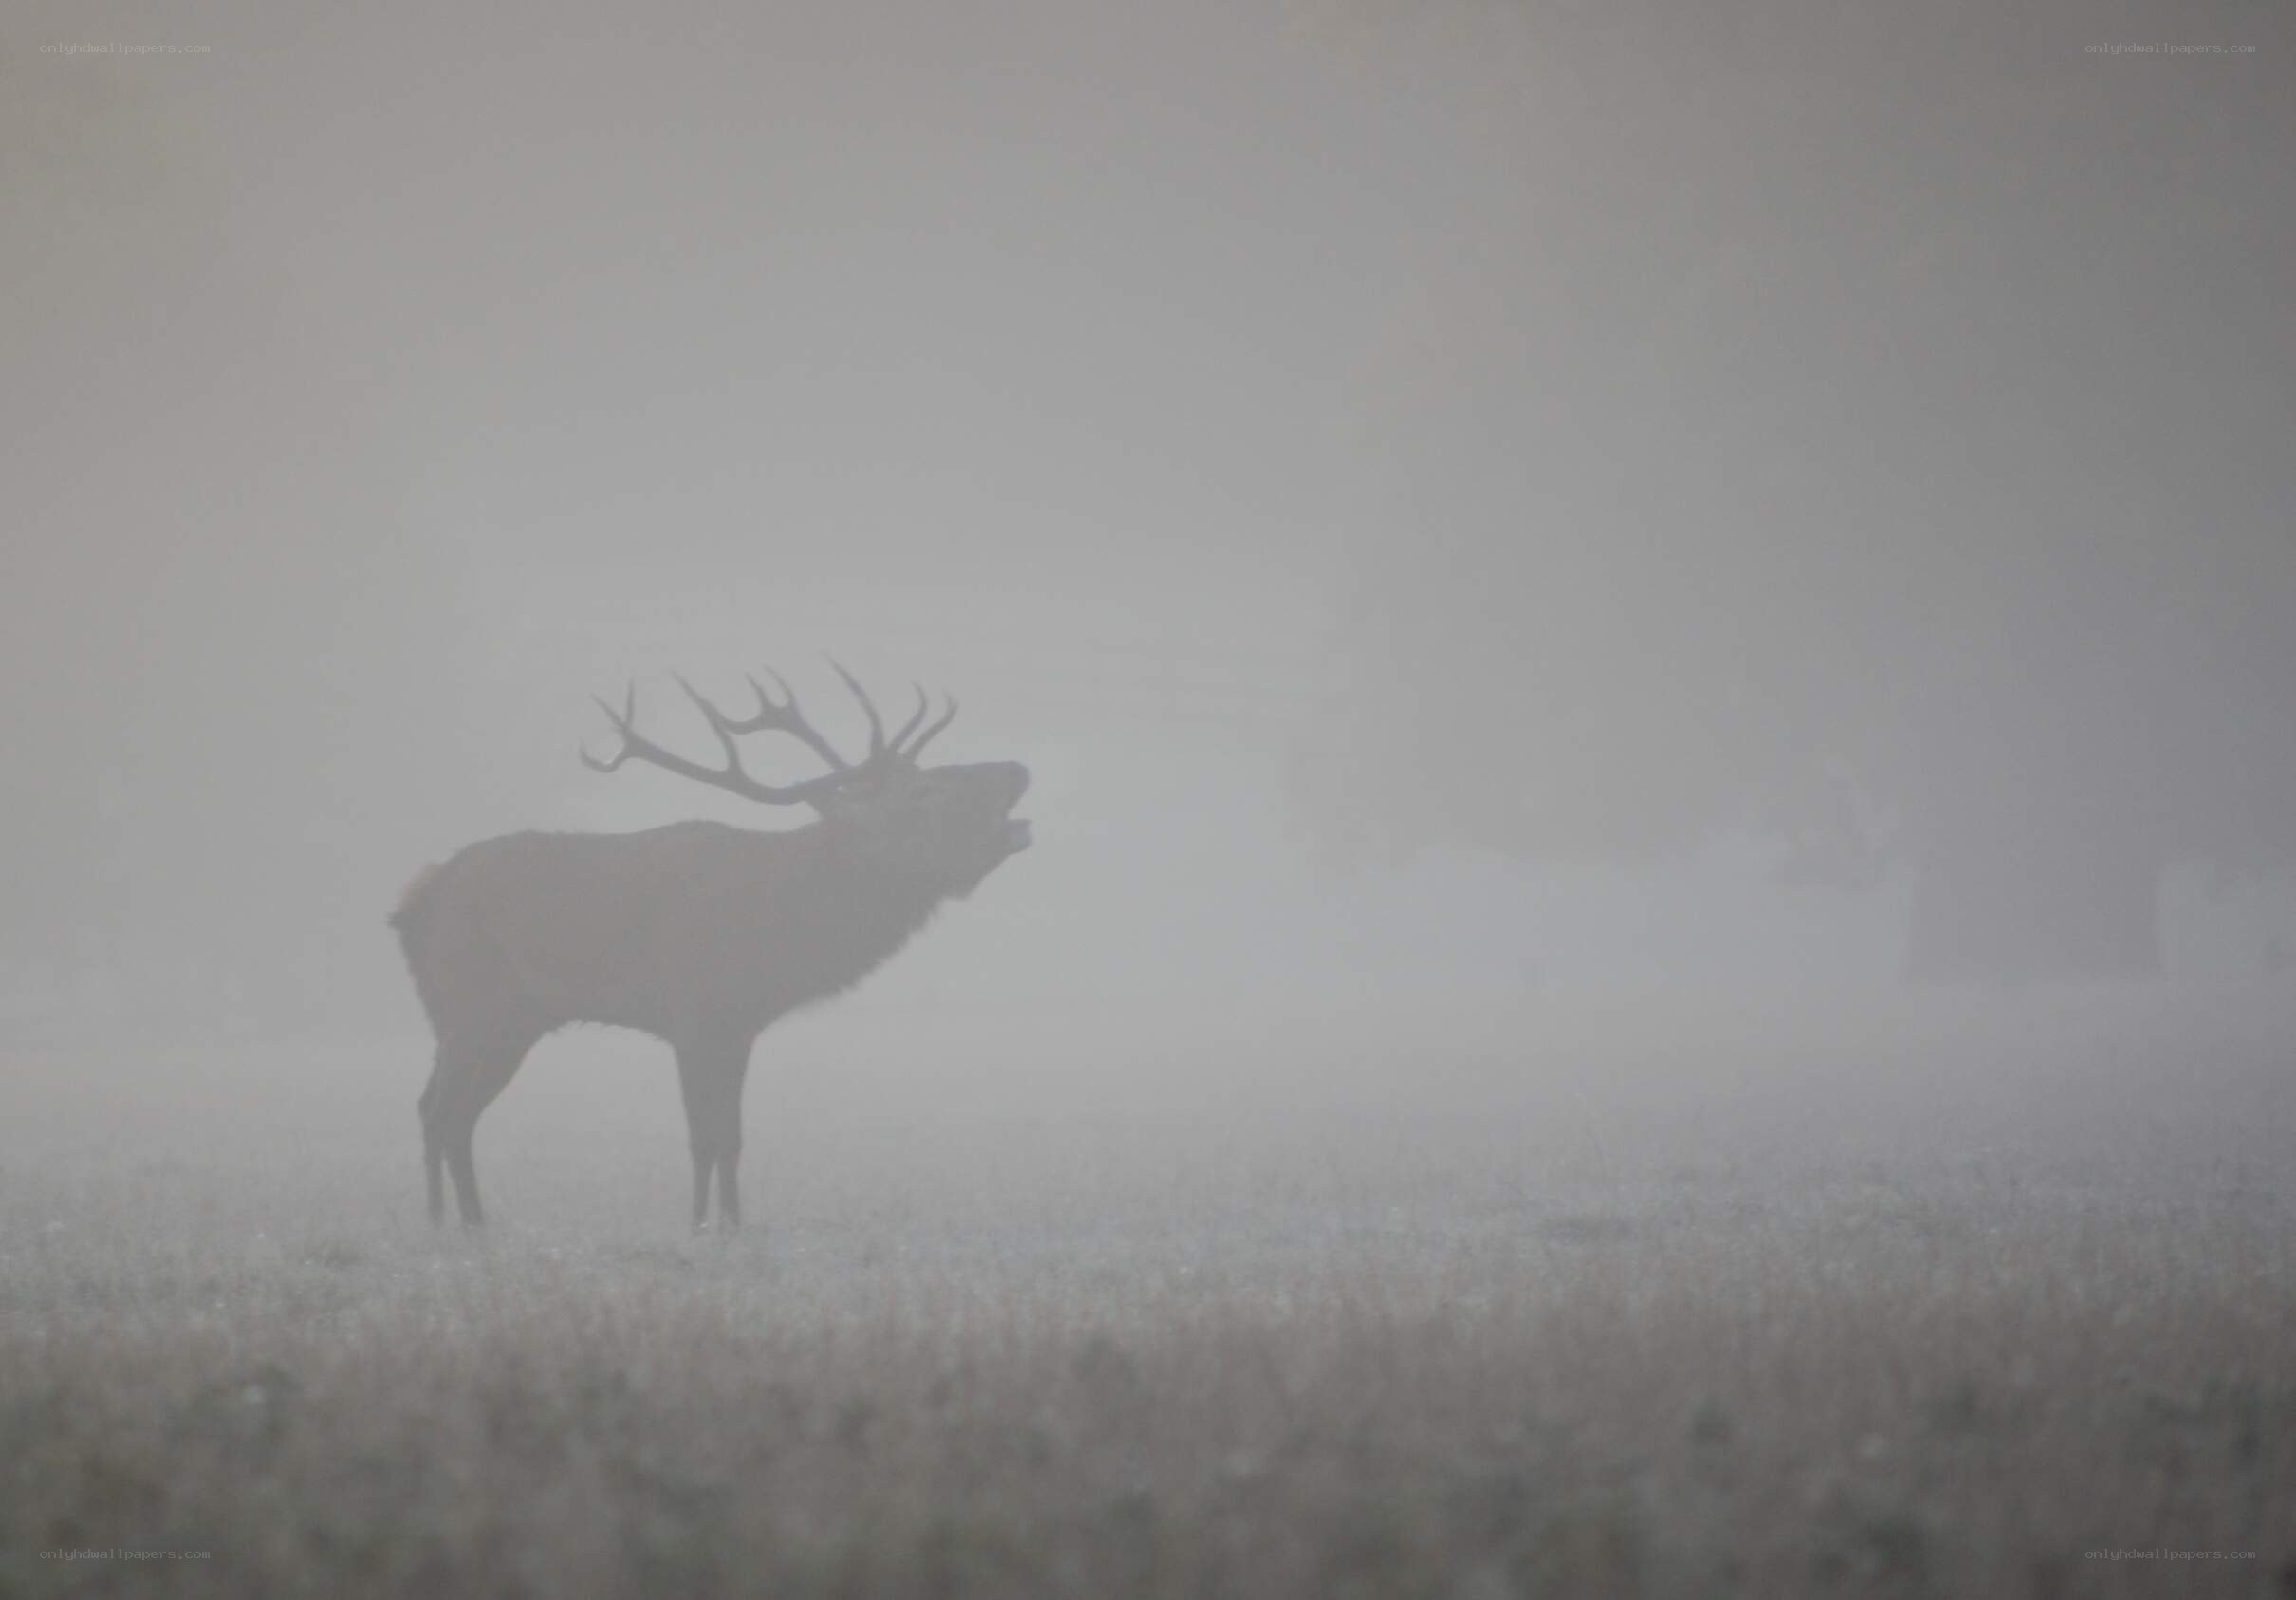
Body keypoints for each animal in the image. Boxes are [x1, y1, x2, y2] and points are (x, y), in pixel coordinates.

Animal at [389, 662, 1031, 1229]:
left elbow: (732, 1136)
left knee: (446, 1110)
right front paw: (699, 1225)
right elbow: (702, 1135)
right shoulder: (693, 1015)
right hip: (469, 1004)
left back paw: (463, 1221)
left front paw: (734, 1222)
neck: (781, 930)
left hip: (509, 1020)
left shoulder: (739, 1026)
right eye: (928, 790)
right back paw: (449, 1224)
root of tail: (412, 904)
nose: (1017, 767)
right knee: (440, 1110)